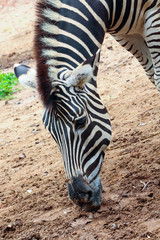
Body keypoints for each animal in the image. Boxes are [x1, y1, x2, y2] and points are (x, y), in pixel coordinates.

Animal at [14, 0, 159, 210]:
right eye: (50, 131)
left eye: (81, 121)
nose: (80, 198)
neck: (107, 7)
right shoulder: (126, 35)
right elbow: (152, 75)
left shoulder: (154, 17)